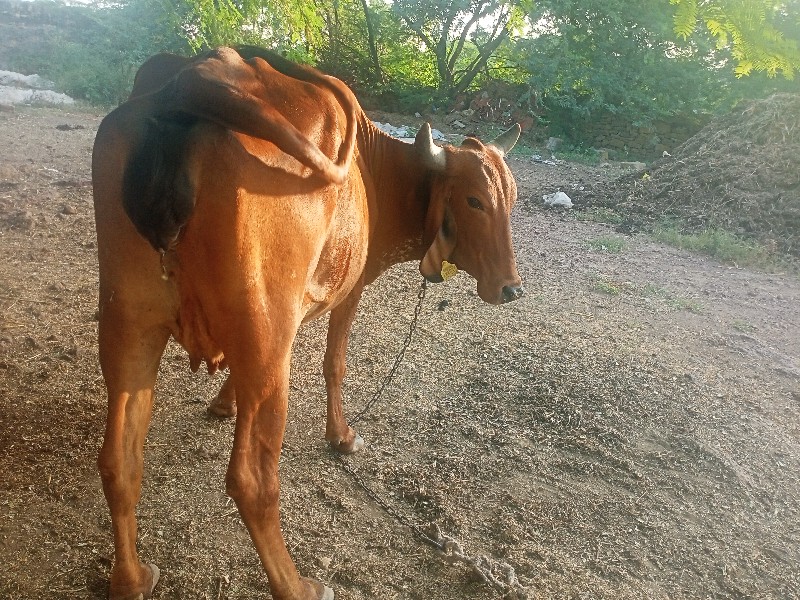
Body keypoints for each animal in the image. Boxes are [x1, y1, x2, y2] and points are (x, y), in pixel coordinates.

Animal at [94, 48, 520, 600]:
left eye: (512, 198)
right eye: (474, 200)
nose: (511, 287)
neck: (375, 171)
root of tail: (185, 90)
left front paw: (223, 403)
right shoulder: (351, 289)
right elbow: (335, 363)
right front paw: (341, 436)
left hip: (129, 328)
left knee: (118, 464)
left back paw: (130, 578)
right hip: (270, 340)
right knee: (251, 480)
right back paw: (296, 585)